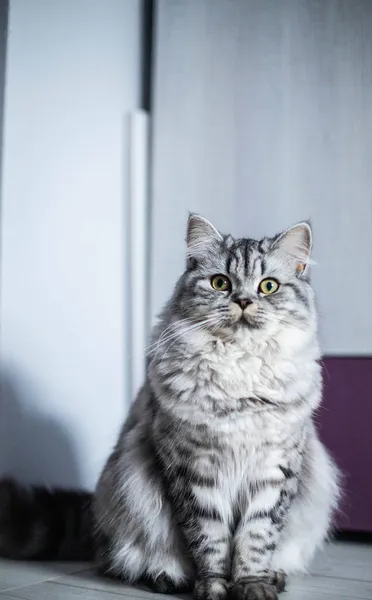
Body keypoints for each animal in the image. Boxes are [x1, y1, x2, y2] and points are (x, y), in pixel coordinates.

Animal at [0, 216, 338, 600]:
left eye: (268, 286)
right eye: (220, 283)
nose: (243, 301)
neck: (239, 372)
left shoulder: (274, 469)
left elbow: (256, 538)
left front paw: (253, 585)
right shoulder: (195, 469)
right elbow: (210, 540)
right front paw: (213, 587)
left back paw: (275, 576)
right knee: (123, 559)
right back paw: (167, 576)